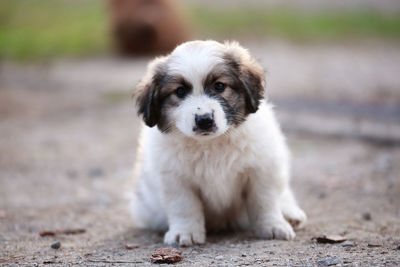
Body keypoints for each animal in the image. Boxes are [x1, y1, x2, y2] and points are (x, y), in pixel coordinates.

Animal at [131, 39, 306, 247]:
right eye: (180, 91)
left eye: (219, 86)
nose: (204, 120)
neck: (211, 144)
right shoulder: (174, 178)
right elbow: (184, 206)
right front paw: (185, 232)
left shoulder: (262, 168)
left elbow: (265, 200)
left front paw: (273, 225)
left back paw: (291, 214)